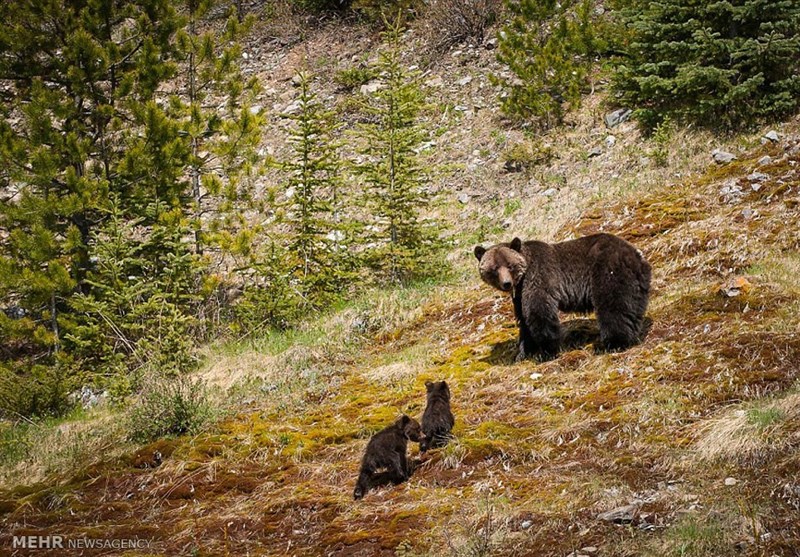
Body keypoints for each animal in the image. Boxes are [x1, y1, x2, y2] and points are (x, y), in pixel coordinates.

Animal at [476, 231, 648, 358]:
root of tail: (634, 254)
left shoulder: (540, 275)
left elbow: (539, 310)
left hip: (607, 270)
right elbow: (523, 318)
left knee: (613, 306)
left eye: (509, 265)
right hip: (637, 283)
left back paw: (614, 343)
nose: (506, 283)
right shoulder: (518, 294)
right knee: (631, 307)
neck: (522, 277)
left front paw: (548, 350)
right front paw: (524, 352)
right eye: (494, 269)